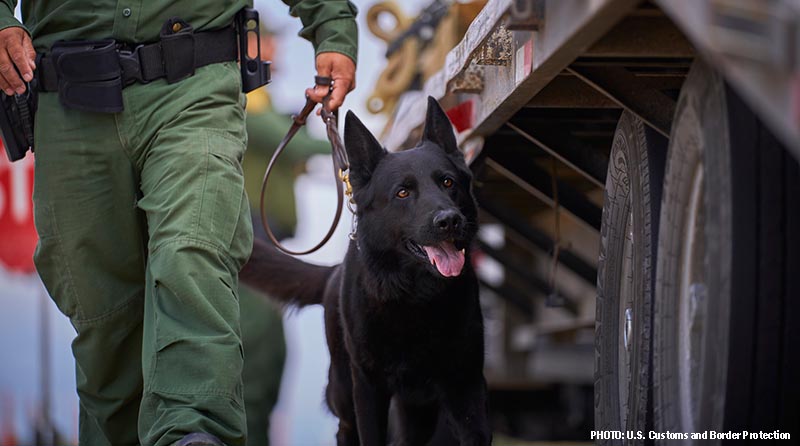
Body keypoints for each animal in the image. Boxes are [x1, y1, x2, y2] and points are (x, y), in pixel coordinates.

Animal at [239, 97, 488, 446]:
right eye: (402, 192)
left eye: (448, 182)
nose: (449, 220)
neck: (416, 298)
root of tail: (333, 274)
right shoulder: (369, 389)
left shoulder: (466, 384)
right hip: (345, 394)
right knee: (346, 429)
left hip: (418, 409)